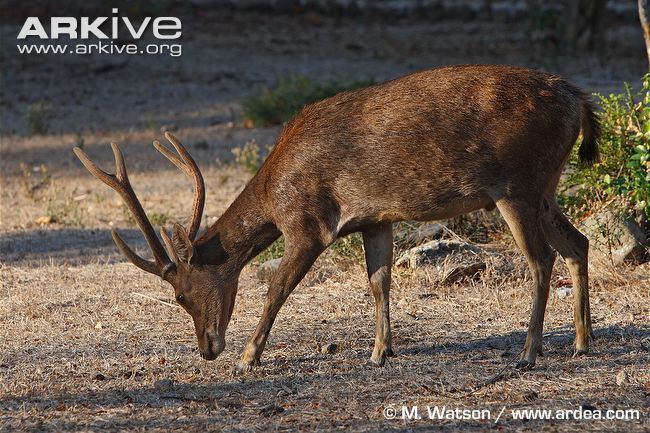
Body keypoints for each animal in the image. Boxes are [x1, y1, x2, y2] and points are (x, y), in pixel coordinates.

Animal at [72, 64, 596, 372]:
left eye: (180, 295)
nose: (207, 348)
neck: (275, 190)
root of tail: (580, 100)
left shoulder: (308, 222)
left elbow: (276, 289)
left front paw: (246, 359)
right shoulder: (375, 218)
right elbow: (379, 280)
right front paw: (381, 351)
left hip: (517, 183)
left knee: (542, 259)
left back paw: (529, 352)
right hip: (545, 186)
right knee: (578, 243)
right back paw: (581, 342)